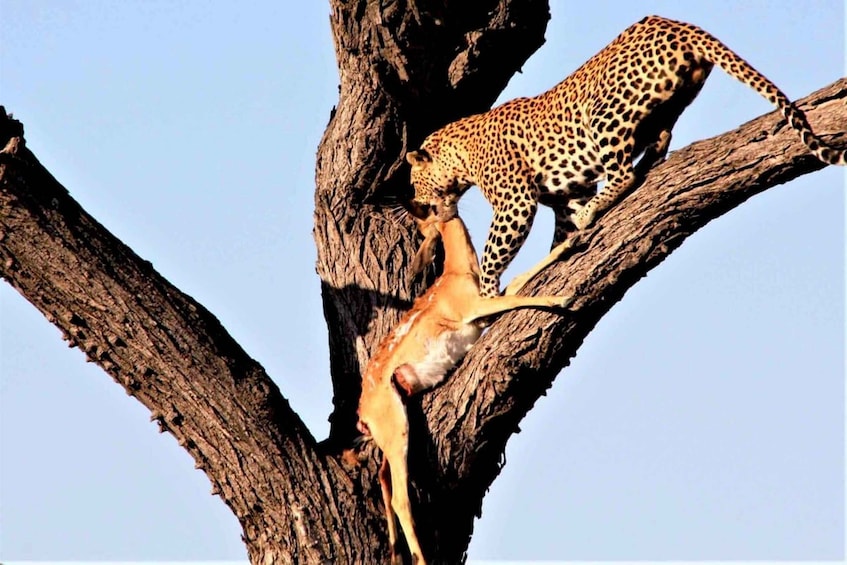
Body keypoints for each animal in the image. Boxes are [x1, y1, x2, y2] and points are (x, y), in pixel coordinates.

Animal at [405, 15, 846, 298]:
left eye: (413, 182)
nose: (415, 206)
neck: (459, 158)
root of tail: (674, 23)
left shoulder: (515, 200)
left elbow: (496, 249)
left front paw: (487, 294)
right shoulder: (566, 195)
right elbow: (562, 227)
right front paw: (555, 255)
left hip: (604, 112)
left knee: (623, 174)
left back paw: (607, 199)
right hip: (670, 99)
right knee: (661, 137)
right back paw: (644, 166)